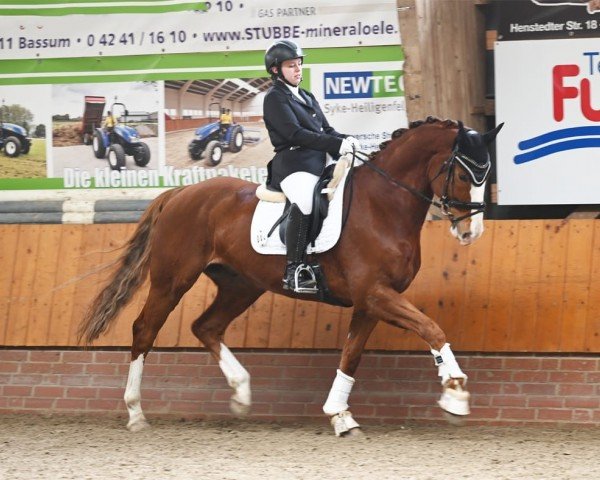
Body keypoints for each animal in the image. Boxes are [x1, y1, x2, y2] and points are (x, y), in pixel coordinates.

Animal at [78, 116, 502, 436]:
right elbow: (431, 328)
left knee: (206, 326)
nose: (471, 233)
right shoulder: (375, 294)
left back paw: (241, 393)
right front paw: (455, 393)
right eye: (463, 173)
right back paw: (136, 413)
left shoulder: (371, 301)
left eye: (486, 173)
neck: (383, 205)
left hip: (240, 284)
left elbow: (351, 355)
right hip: (173, 280)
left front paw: (340, 415)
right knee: (144, 330)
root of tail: (179, 194)